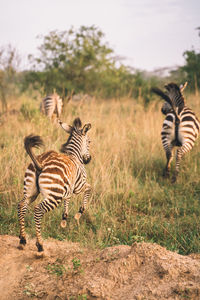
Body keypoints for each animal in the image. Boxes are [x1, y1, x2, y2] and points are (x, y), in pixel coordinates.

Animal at [18, 117, 91, 253]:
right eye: (89, 141)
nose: (88, 159)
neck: (75, 156)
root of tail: (40, 163)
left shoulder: (67, 189)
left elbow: (67, 200)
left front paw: (64, 219)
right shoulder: (78, 186)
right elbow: (89, 188)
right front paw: (79, 212)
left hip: (30, 191)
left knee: (21, 206)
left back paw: (22, 239)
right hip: (54, 196)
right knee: (38, 210)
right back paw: (40, 245)